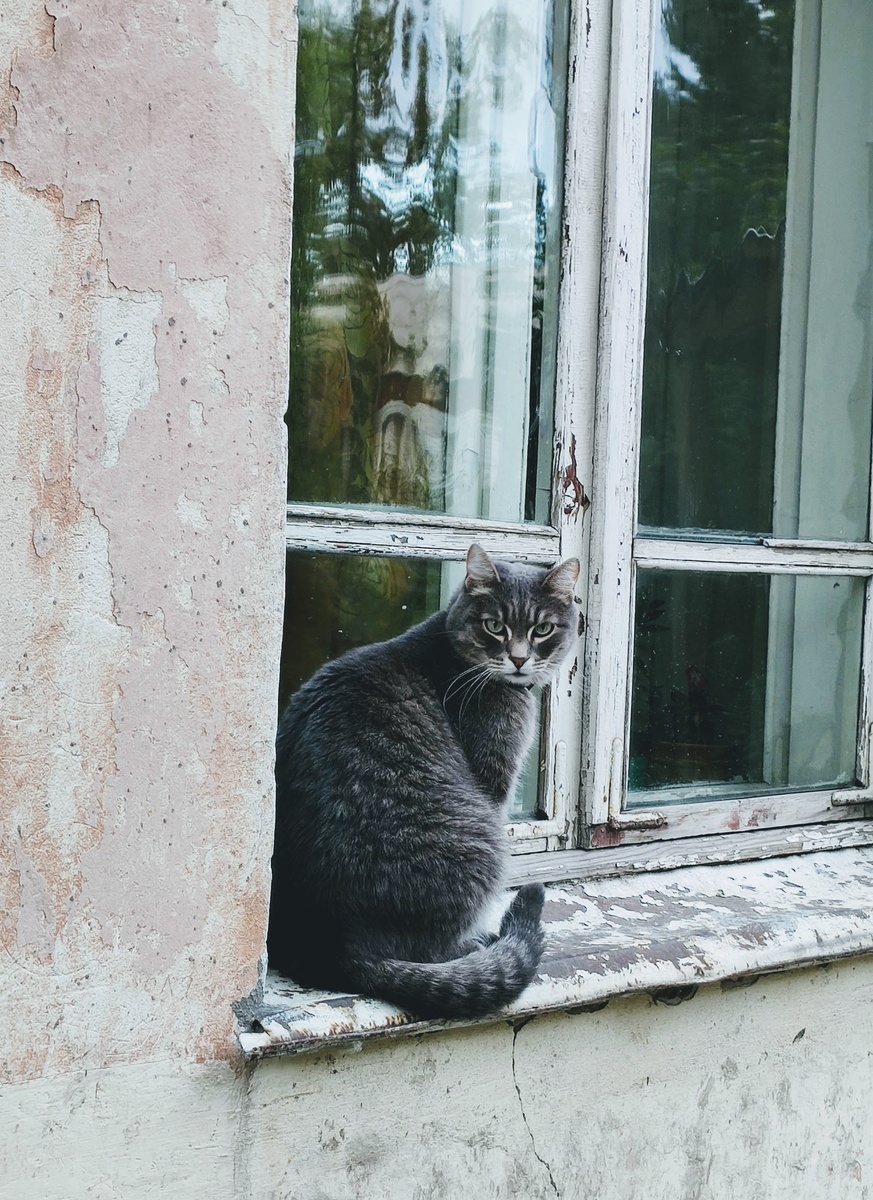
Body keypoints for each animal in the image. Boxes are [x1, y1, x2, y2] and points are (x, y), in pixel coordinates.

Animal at [266, 544, 580, 1022]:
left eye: (542, 629)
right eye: (495, 626)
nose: (519, 658)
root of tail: (335, 949)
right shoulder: (493, 781)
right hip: (481, 842)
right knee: (429, 951)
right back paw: (474, 942)